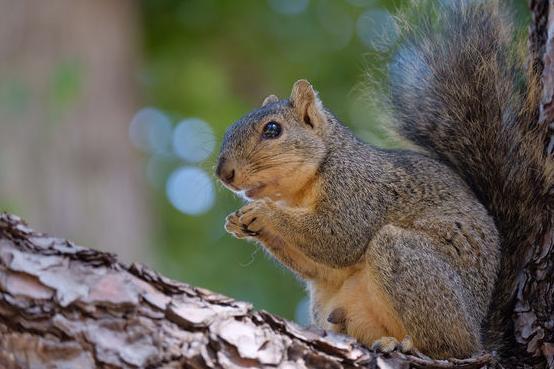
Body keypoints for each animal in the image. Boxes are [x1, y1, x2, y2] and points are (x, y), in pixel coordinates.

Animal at [213, 0, 548, 360]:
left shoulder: (357, 189)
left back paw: (410, 344)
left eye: (273, 129)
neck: (303, 189)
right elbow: (319, 267)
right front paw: (238, 222)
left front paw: (263, 213)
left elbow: (338, 237)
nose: (224, 173)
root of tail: (480, 333)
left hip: (412, 267)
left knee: (451, 346)